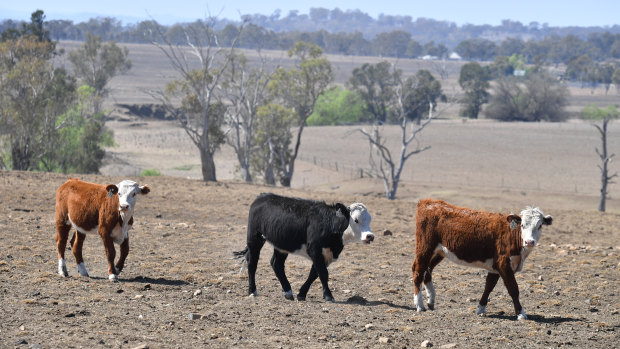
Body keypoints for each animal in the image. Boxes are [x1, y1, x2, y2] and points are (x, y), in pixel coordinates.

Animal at [232, 193, 372, 302]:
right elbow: (323, 273)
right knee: (252, 263)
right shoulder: (314, 249)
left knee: (276, 264)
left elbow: (314, 274)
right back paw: (252, 291)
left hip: (282, 245)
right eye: (356, 220)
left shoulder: (327, 255)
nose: (370, 236)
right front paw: (328, 296)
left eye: (370, 220)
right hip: (254, 238)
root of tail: (262, 197)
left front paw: (301, 294)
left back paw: (288, 292)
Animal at [412, 197, 552, 320]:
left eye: (539, 226)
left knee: (428, 270)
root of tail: (428, 202)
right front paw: (521, 314)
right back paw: (420, 305)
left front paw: (481, 308)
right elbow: (513, 289)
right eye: (522, 225)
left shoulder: (495, 267)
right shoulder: (503, 264)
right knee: (418, 271)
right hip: (424, 247)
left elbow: (489, 286)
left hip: (440, 251)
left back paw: (431, 300)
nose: (529, 242)